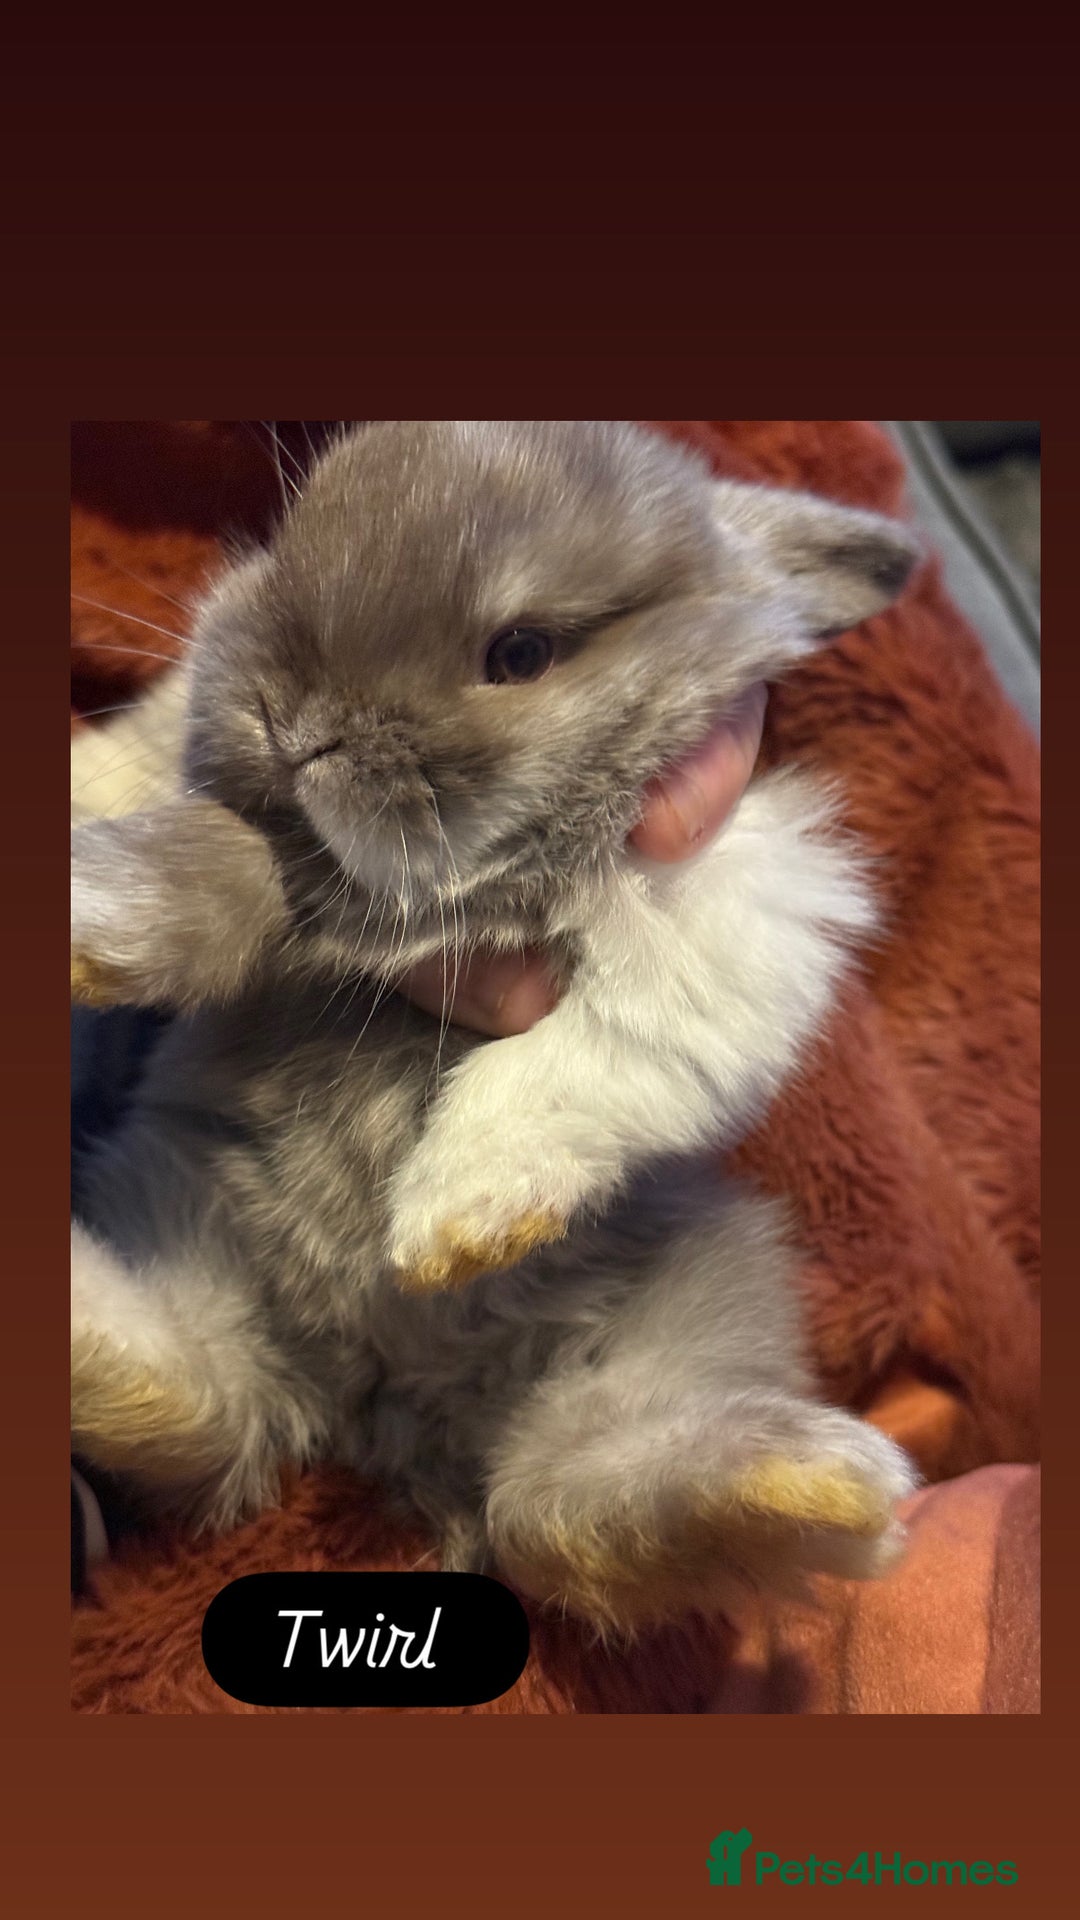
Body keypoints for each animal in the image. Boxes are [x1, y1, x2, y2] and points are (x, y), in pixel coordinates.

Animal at [71, 419, 920, 1633]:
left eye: (520, 653)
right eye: (290, 537)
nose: (288, 723)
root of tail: (369, 1402)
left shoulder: (726, 901)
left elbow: (594, 1049)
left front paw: (452, 1222)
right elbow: (207, 848)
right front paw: (90, 903)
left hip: (700, 1287)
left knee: (561, 1511)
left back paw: (809, 1486)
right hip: (185, 1222)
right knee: (190, 1397)